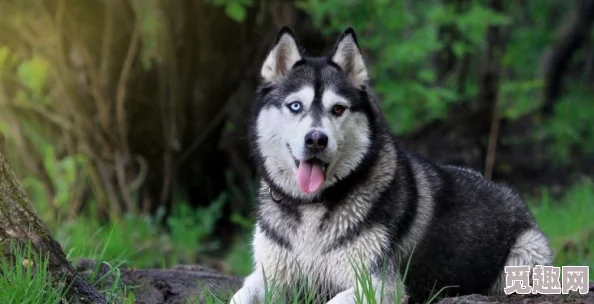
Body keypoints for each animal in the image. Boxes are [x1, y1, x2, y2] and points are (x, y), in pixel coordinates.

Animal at [228, 27, 552, 302]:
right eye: (296, 106)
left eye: (338, 109)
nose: (316, 140)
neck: (312, 206)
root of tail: (508, 191)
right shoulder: (269, 276)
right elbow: (238, 296)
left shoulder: (379, 284)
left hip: (525, 258)